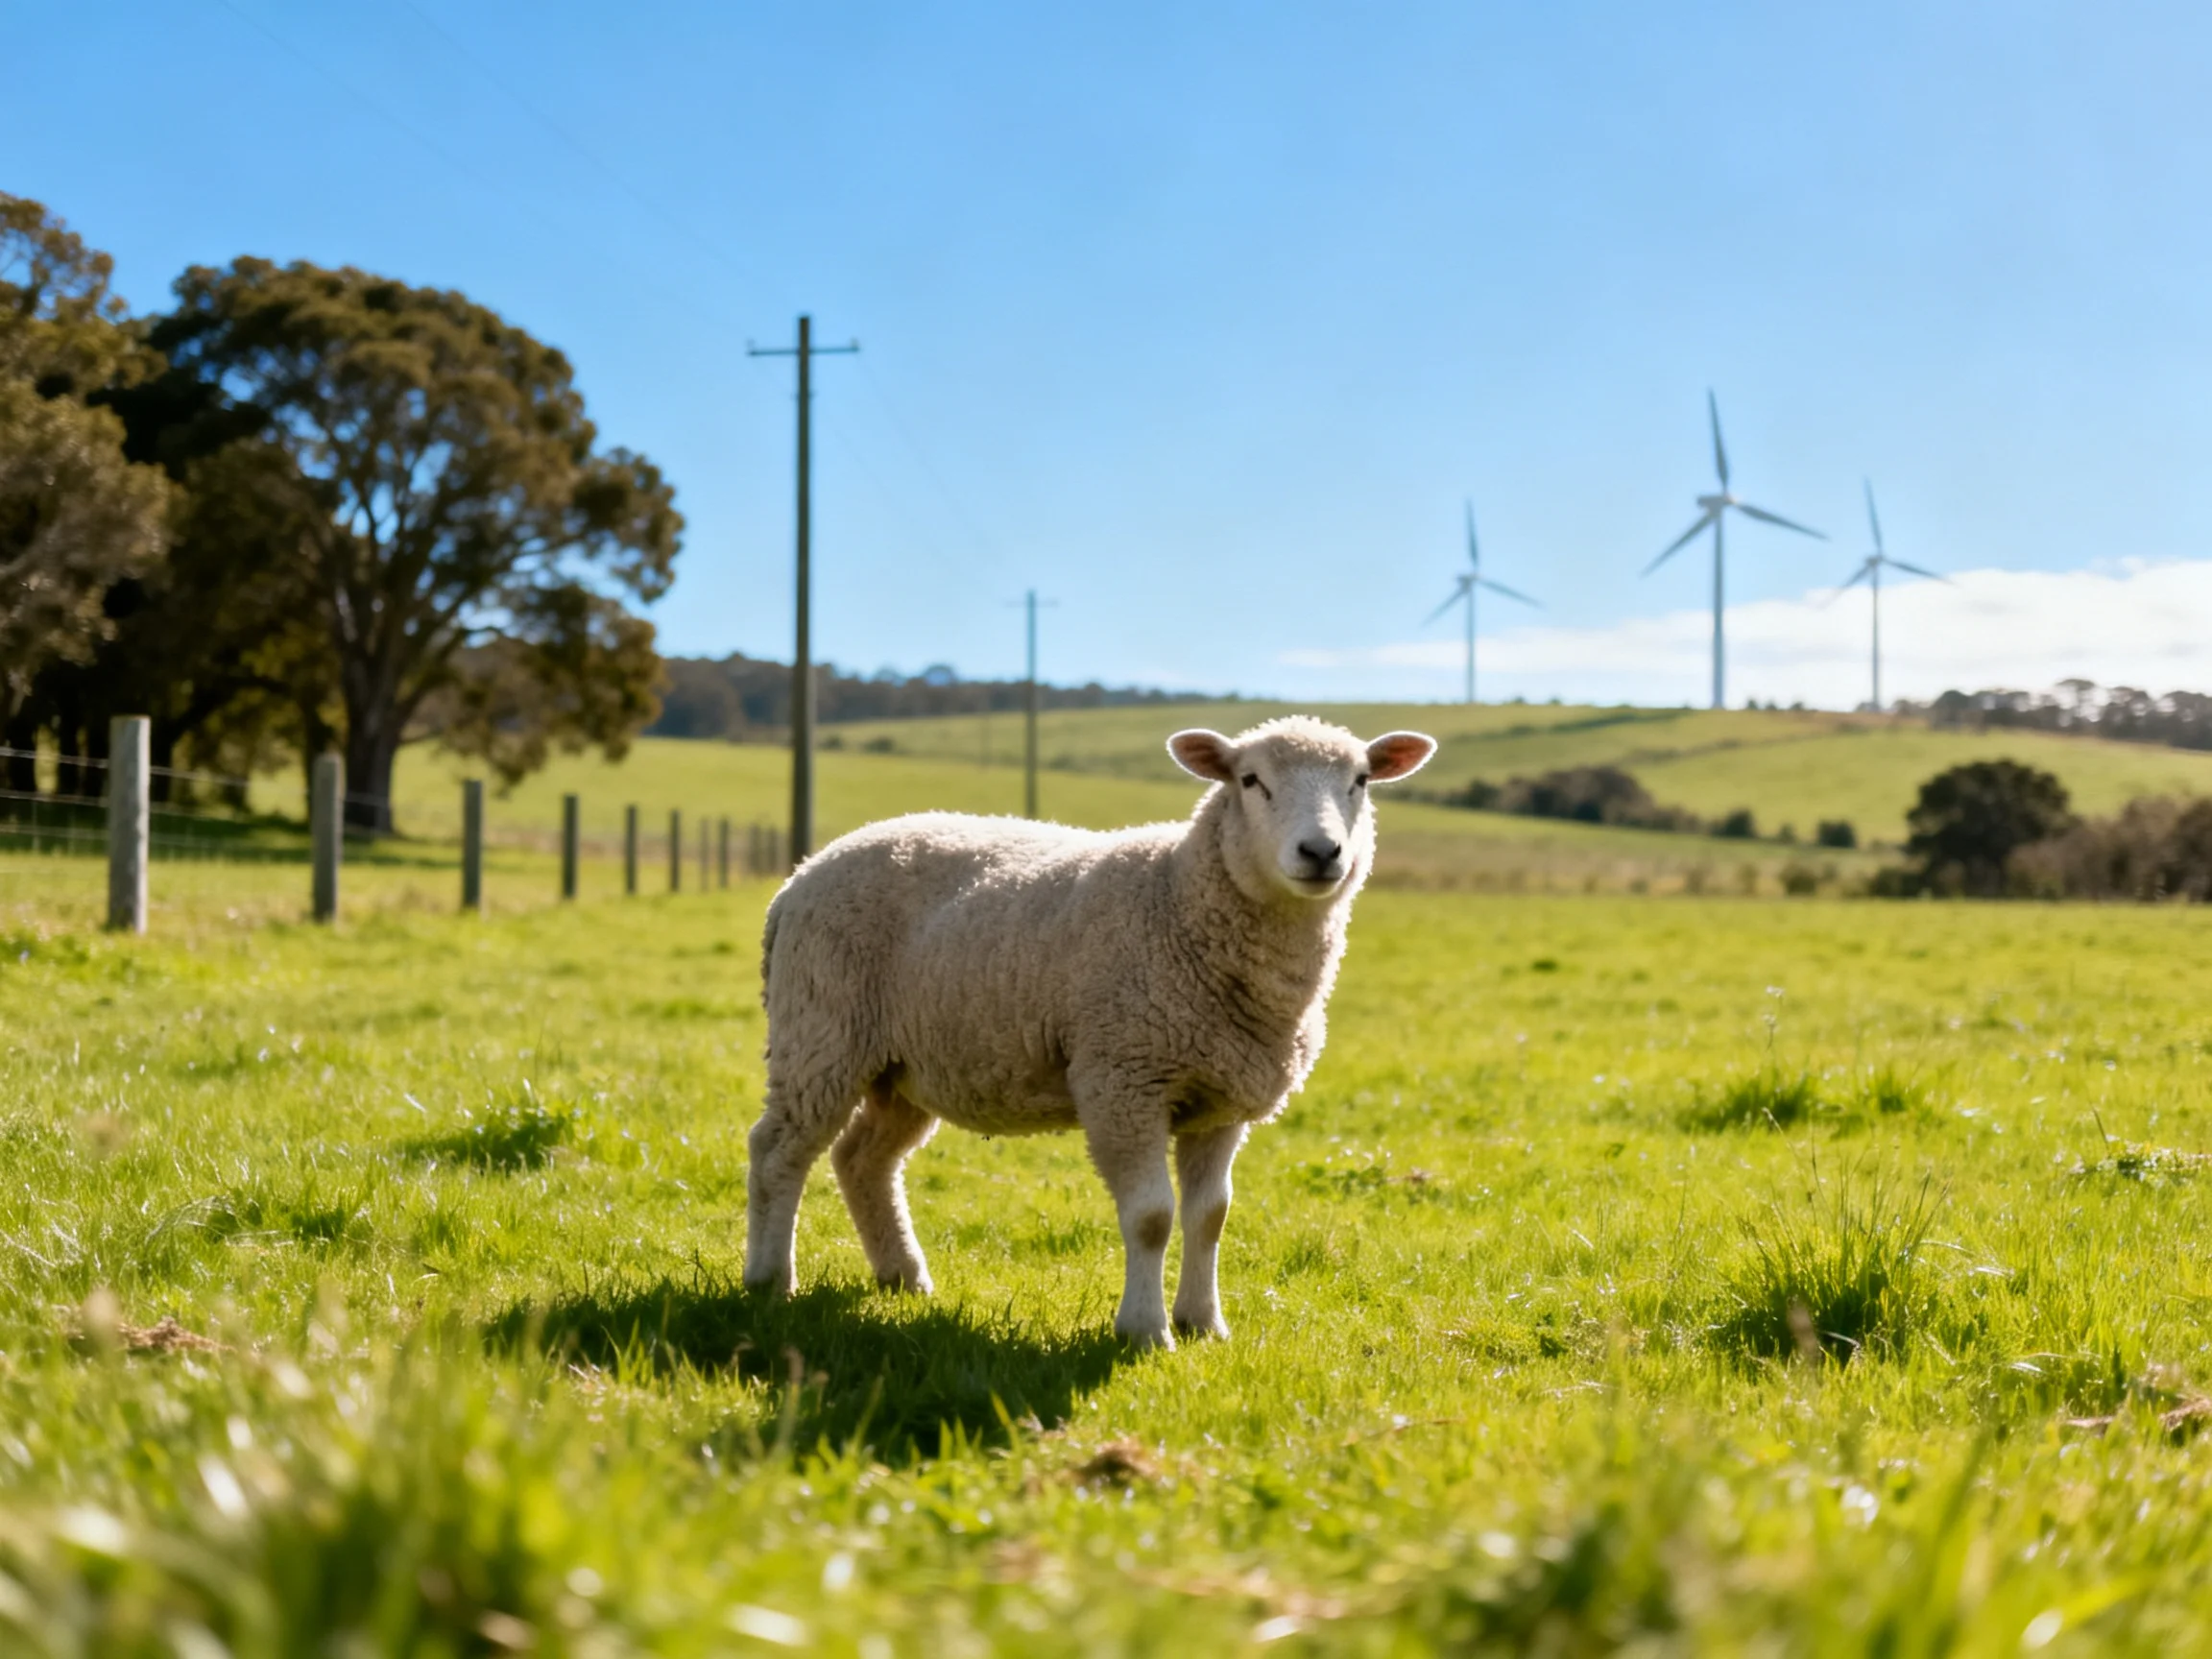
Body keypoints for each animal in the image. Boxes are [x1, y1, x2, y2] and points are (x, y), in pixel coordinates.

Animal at [742, 716, 1436, 1348]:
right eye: (1250, 780)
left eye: (1360, 781)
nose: (1321, 853)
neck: (1178, 896)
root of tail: (799, 877)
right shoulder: (1123, 1080)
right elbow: (1152, 1216)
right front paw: (1145, 1331)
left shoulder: (1220, 1097)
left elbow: (1210, 1216)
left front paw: (1203, 1323)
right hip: (821, 1030)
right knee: (778, 1150)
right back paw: (769, 1281)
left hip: (906, 1065)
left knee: (862, 1159)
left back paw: (903, 1277)